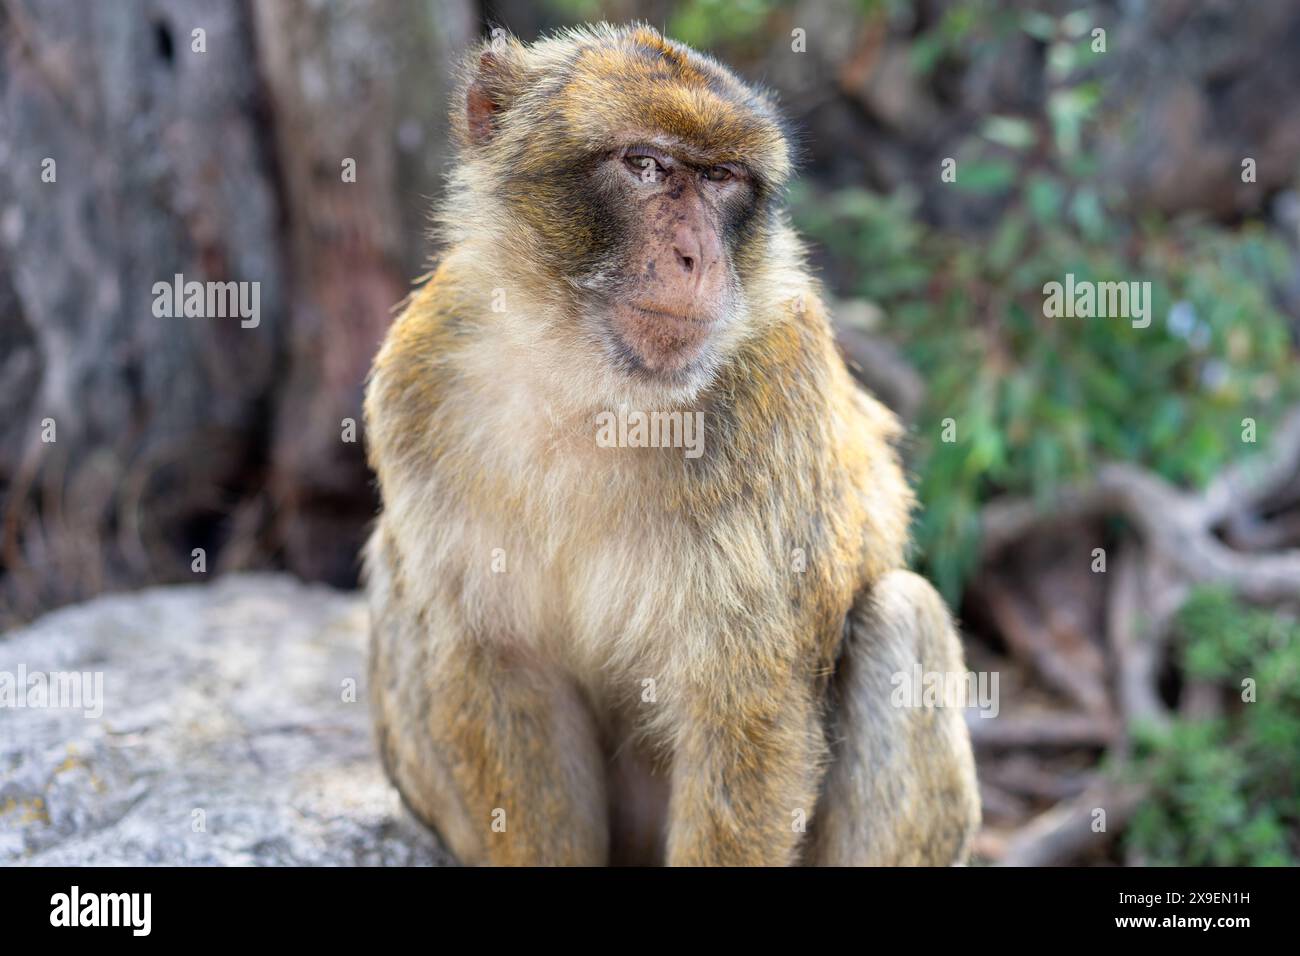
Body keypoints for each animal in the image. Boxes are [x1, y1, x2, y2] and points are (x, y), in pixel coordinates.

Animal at [361, 24, 977, 868]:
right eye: (645, 165)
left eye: (720, 179)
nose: (698, 257)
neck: (592, 389)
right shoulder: (418, 386)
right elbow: (499, 664)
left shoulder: (776, 393)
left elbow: (747, 709)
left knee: (902, 617)